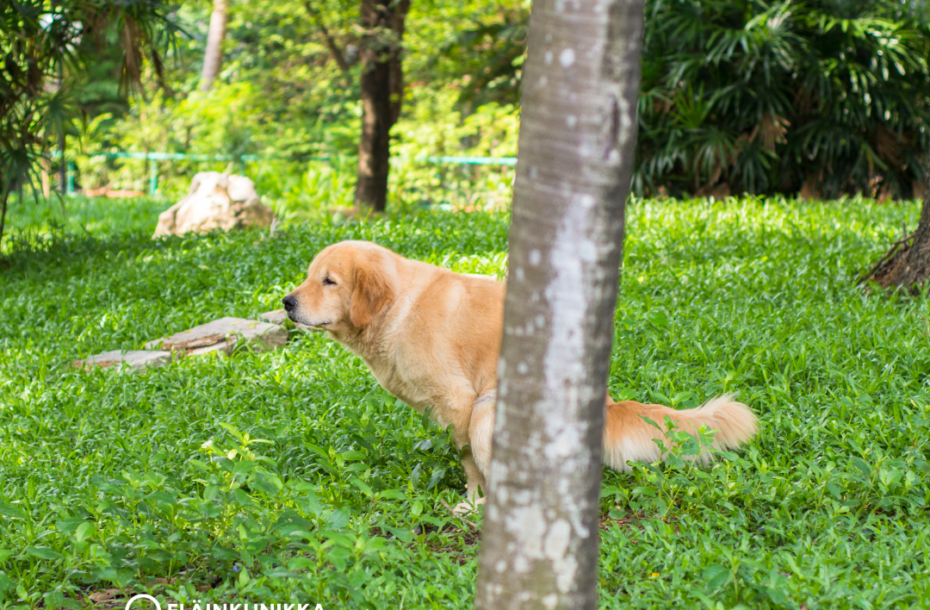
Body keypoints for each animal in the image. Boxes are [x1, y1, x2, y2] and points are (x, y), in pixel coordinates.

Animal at [286, 240, 756, 510]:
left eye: (329, 281)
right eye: (309, 277)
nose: (287, 302)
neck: (398, 308)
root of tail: (606, 405)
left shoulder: (461, 401)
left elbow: (469, 463)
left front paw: (472, 501)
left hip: (489, 410)